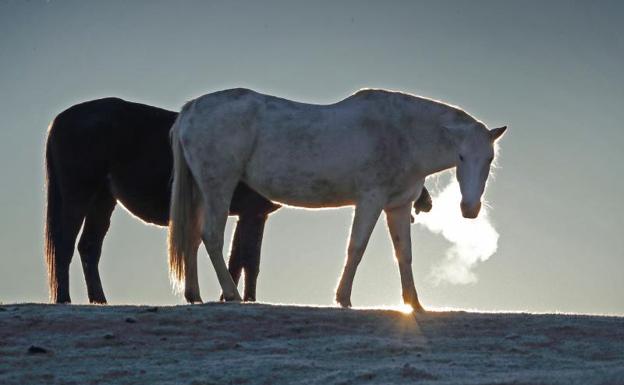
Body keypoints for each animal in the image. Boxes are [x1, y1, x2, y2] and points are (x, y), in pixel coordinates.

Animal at [44, 97, 434, 304]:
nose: (425, 202)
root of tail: (61, 118)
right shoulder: (251, 213)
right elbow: (245, 258)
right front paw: (236, 297)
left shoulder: (252, 215)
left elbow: (245, 259)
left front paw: (237, 296)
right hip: (80, 193)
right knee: (65, 243)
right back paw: (65, 299)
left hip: (103, 199)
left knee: (88, 247)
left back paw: (99, 300)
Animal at [167, 87, 508, 308]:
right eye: (461, 156)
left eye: (490, 159)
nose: (469, 208)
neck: (403, 134)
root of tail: (191, 108)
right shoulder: (370, 200)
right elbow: (356, 247)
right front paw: (343, 298)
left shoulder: (397, 207)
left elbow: (404, 254)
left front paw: (414, 304)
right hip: (219, 187)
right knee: (211, 237)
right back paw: (232, 295)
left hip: (202, 191)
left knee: (193, 237)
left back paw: (194, 295)